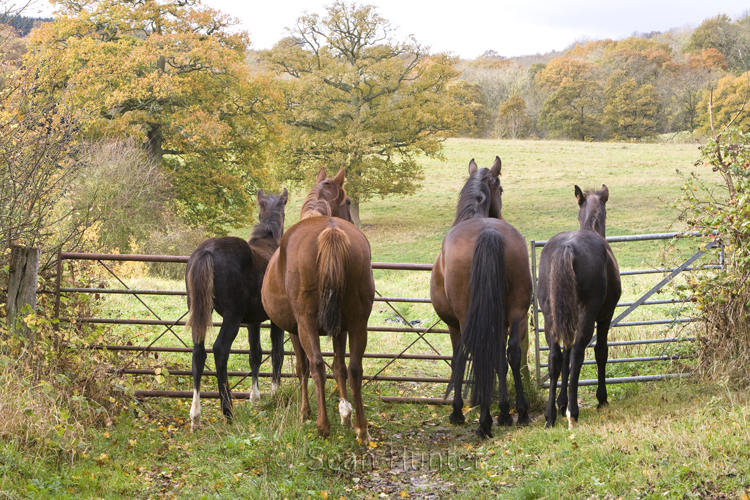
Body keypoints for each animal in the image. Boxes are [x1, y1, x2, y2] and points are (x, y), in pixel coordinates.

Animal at [187, 188, 290, 430]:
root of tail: (206, 252)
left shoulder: (253, 320)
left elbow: (255, 354)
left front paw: (255, 397)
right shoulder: (274, 320)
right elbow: (277, 353)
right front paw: (274, 393)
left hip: (199, 311)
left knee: (198, 352)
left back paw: (196, 415)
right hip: (232, 317)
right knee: (220, 350)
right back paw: (228, 411)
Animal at [262, 167, 374, 442]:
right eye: (348, 202)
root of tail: (330, 231)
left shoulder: (294, 329)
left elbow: (304, 367)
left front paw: (305, 412)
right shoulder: (341, 328)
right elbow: (340, 366)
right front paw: (345, 411)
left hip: (306, 324)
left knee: (316, 365)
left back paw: (322, 426)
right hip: (359, 322)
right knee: (355, 367)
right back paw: (361, 427)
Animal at [428, 158, 536, 440]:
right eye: (502, 190)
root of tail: (489, 231)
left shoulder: (454, 325)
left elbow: (457, 359)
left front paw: (457, 412)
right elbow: (500, 358)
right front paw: (506, 412)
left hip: (468, 318)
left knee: (477, 354)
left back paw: (484, 422)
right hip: (517, 312)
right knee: (512, 352)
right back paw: (521, 413)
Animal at [540, 186, 624, 428]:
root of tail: (567, 247)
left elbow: (564, 359)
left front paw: (561, 402)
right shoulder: (605, 317)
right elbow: (601, 352)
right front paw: (601, 398)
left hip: (551, 316)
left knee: (555, 358)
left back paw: (550, 416)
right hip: (588, 315)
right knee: (578, 354)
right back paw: (573, 412)